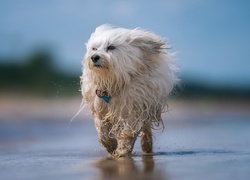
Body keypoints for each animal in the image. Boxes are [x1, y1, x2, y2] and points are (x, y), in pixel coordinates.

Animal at [80, 24, 178, 158]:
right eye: (94, 48)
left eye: (111, 47)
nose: (94, 57)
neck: (114, 81)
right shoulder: (100, 107)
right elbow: (102, 131)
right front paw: (111, 146)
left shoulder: (134, 108)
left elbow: (128, 132)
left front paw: (122, 150)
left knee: (146, 128)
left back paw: (147, 146)